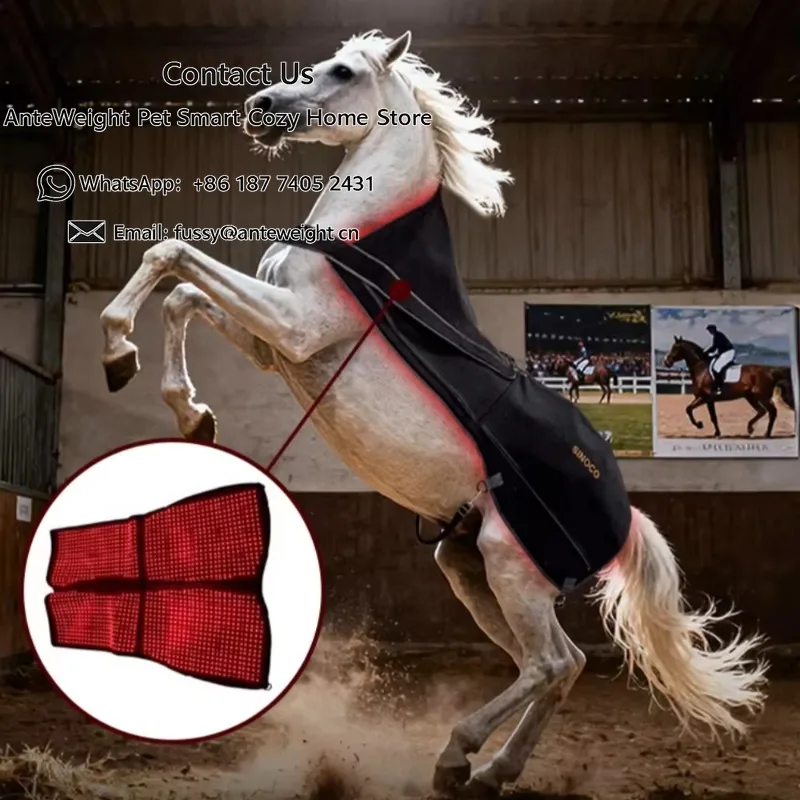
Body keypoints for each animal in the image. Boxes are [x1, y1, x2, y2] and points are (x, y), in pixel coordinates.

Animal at [99, 31, 767, 798]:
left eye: (342, 72)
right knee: (561, 665)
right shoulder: (277, 348)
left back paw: (459, 754)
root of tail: (626, 517)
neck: (361, 241)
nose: (259, 106)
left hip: (510, 567)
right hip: (469, 567)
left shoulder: (296, 328)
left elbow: (172, 255)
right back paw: (493, 771)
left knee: (549, 664)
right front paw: (183, 406)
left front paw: (118, 347)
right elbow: (181, 294)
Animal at [663, 336, 795, 439]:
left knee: (772, 411)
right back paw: (751, 429)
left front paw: (700, 425)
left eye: (675, 348)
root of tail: (769, 371)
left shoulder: (705, 398)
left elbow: (689, 409)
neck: (701, 369)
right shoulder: (707, 399)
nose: (666, 362)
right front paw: (716, 433)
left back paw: (766, 434)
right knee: (762, 411)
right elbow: (711, 416)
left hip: (762, 396)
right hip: (750, 396)